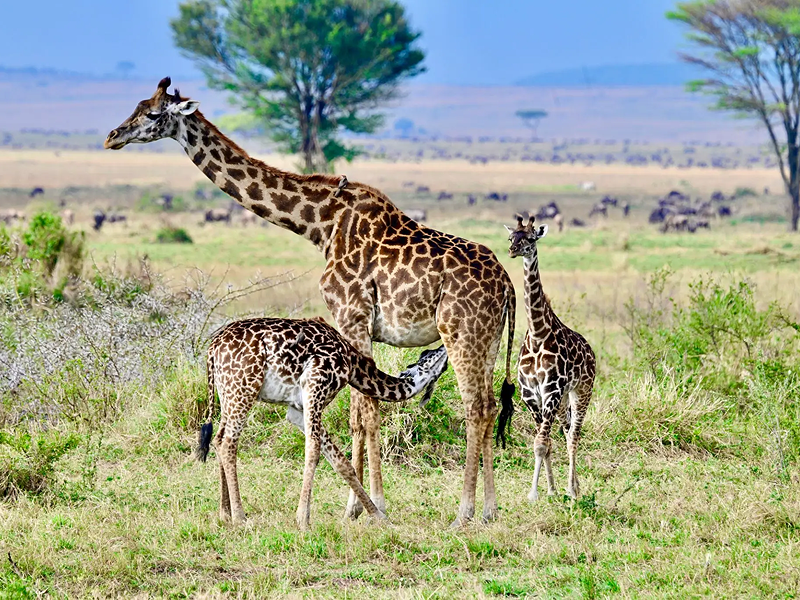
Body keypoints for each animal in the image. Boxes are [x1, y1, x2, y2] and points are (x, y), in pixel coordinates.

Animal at [198, 316, 449, 530]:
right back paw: (240, 518)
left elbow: (340, 462)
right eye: (429, 354)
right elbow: (314, 450)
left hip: (228, 393)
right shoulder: (315, 383)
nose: (443, 348)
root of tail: (212, 348)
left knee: (218, 439)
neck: (353, 365)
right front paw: (303, 520)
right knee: (228, 444)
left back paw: (224, 514)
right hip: (244, 387)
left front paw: (378, 516)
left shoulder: (297, 408)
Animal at [498, 216, 595, 501]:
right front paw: (547, 490)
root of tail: (592, 352)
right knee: (565, 431)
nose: (513, 251)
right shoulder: (531, 394)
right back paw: (567, 487)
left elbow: (541, 443)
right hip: (563, 400)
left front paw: (534, 493)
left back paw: (573, 490)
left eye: (531, 238)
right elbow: (545, 442)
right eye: (511, 238)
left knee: (574, 434)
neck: (538, 335)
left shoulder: (551, 390)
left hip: (581, 391)